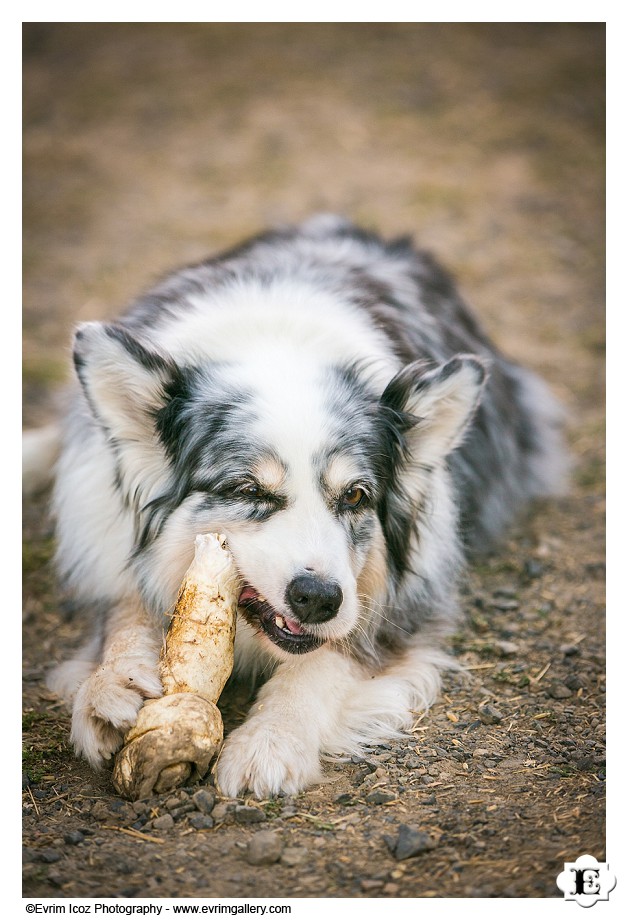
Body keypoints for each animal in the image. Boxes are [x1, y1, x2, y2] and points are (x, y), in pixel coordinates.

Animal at [28, 216, 564, 796]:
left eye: (356, 496)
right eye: (248, 491)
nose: (318, 600)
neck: (275, 345)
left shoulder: (398, 606)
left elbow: (325, 661)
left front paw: (270, 741)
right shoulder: (109, 547)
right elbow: (124, 613)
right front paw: (110, 685)